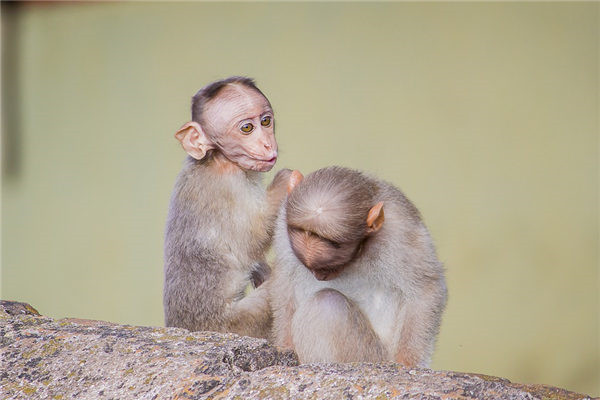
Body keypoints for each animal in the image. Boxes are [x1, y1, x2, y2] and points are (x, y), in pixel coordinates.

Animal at [162, 76, 288, 340]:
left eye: (266, 121)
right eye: (247, 128)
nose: (267, 144)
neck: (217, 157)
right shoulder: (226, 188)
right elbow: (249, 242)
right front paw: (287, 180)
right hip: (235, 324)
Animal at [270, 166, 448, 366]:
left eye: (329, 267)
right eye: (313, 268)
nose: (320, 276)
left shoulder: (400, 230)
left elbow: (426, 289)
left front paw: (407, 363)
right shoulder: (283, 221)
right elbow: (286, 276)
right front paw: (284, 347)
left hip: (372, 355)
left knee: (327, 305)